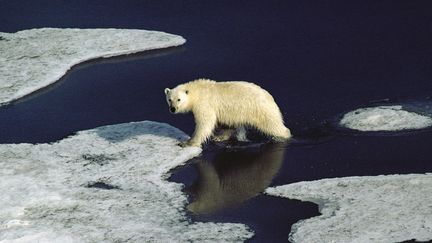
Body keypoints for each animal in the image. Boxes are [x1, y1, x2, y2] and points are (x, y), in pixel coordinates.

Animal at [164, 79, 292, 147]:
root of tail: (270, 97)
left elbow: (205, 123)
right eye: (169, 99)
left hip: (261, 110)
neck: (197, 91)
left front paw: (188, 142)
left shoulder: (204, 104)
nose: (173, 109)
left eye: (179, 99)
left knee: (272, 124)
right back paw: (220, 137)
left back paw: (284, 135)